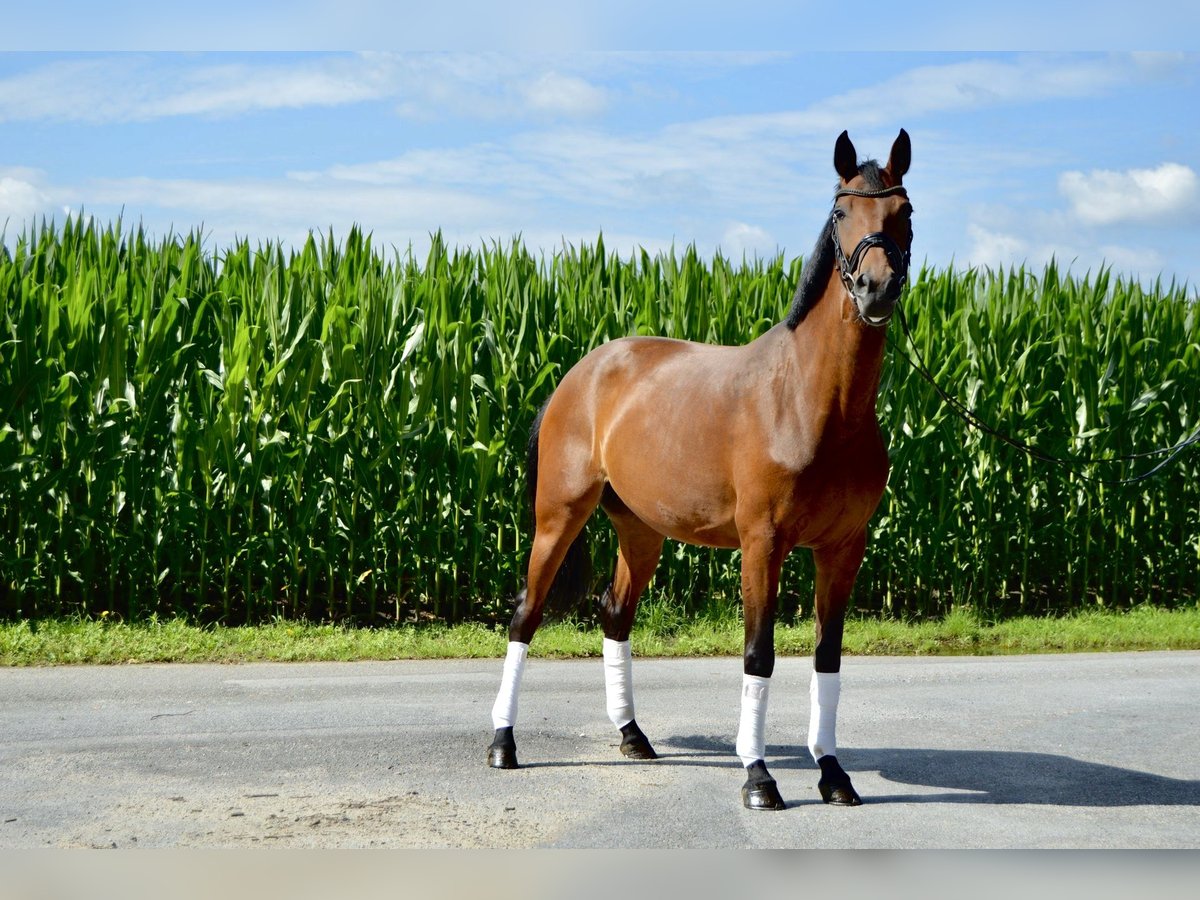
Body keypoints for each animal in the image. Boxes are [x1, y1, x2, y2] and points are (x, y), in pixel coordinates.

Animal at [487, 130, 907, 816]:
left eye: (905, 211)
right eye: (842, 212)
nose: (875, 289)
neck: (812, 402)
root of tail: (579, 374)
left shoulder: (844, 549)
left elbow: (827, 656)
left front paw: (833, 774)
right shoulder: (762, 544)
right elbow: (759, 654)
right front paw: (758, 778)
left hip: (641, 531)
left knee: (615, 613)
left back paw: (633, 735)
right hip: (557, 518)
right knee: (526, 615)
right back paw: (503, 744)